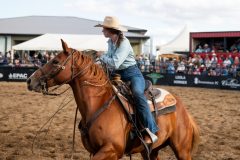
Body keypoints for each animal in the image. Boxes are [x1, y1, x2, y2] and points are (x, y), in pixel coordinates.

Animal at [26, 40, 200, 160]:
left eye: (55, 61)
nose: (29, 80)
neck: (98, 104)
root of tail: (183, 109)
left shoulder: (111, 150)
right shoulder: (96, 151)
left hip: (182, 150)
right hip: (150, 151)